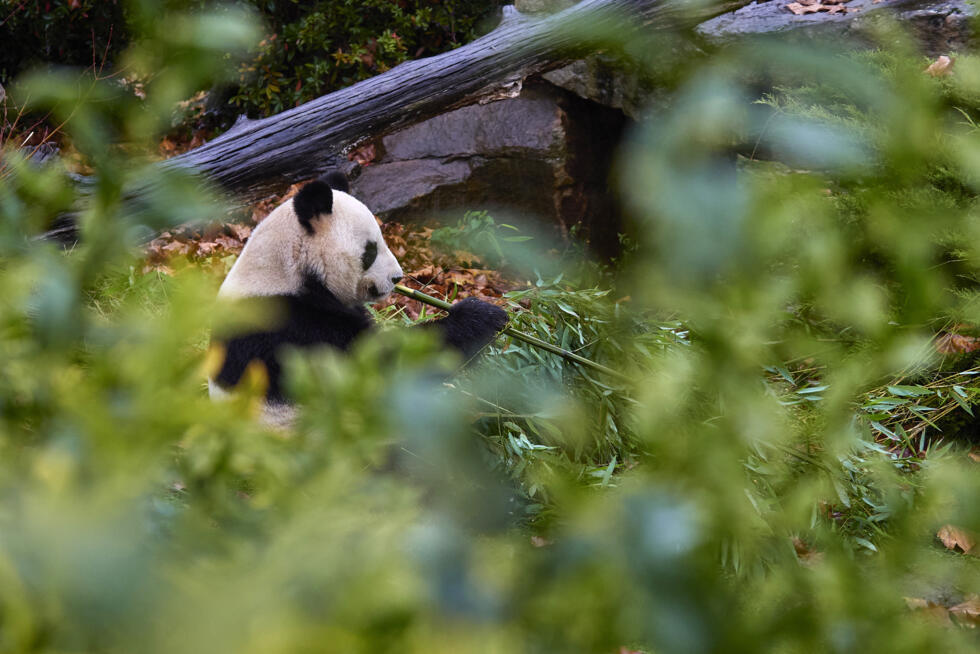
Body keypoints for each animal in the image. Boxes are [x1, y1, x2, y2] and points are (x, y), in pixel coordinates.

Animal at [208, 171, 509, 425]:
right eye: (371, 250)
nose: (397, 278)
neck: (285, 269)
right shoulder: (294, 329)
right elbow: (382, 366)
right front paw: (481, 315)